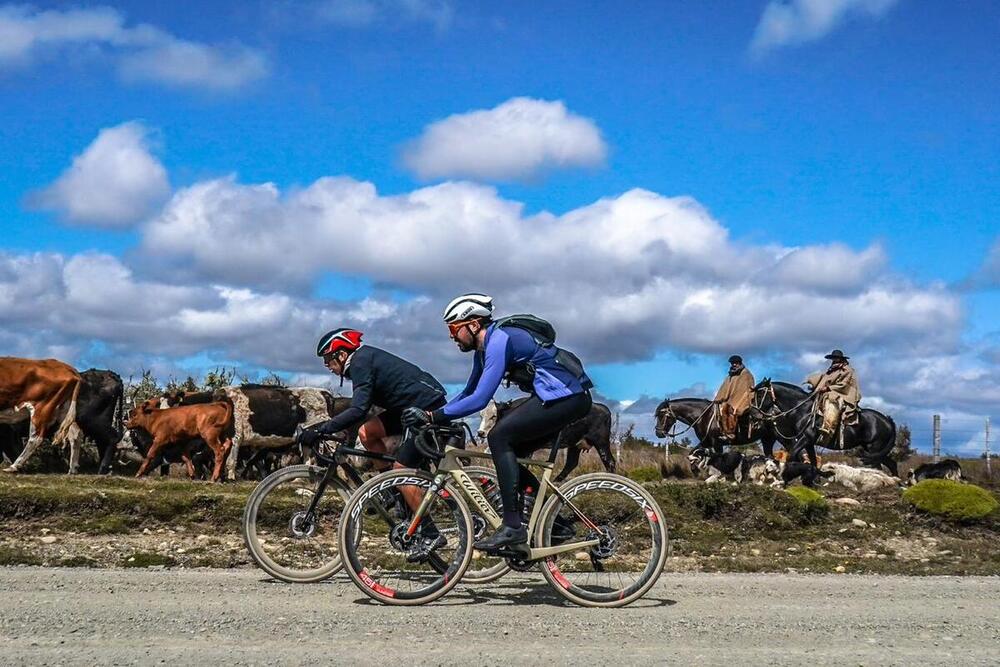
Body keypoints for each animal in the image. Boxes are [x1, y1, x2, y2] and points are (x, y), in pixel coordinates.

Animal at [752, 378, 900, 478]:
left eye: (759, 394)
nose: (753, 414)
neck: (803, 410)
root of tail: (887, 420)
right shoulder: (809, 443)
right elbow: (811, 461)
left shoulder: (805, 439)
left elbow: (792, 456)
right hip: (873, 450)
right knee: (891, 463)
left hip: (874, 448)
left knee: (879, 466)